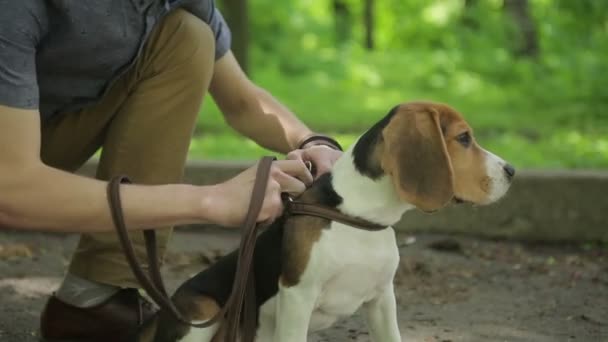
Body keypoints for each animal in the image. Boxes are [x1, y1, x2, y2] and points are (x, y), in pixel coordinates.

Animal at [140, 101, 516, 342]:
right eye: (464, 139)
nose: (512, 170)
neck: (358, 216)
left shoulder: (382, 299)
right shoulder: (297, 297)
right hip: (201, 312)